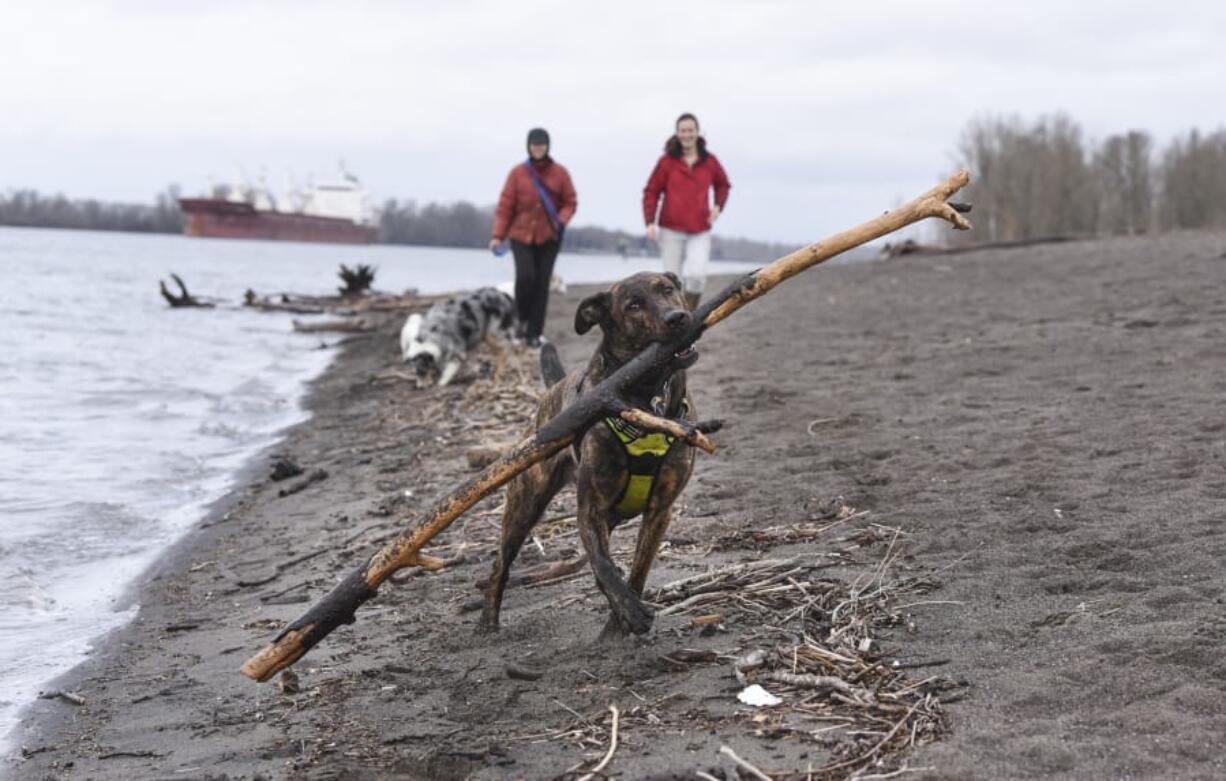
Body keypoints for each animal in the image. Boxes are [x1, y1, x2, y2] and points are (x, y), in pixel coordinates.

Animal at [483, 270, 706, 637]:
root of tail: (554, 390)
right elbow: (603, 566)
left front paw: (619, 621)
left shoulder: (660, 511)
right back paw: (487, 621)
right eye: (633, 306)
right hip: (524, 504)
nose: (677, 318)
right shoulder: (591, 509)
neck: (647, 395)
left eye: (667, 289)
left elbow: (639, 568)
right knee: (501, 563)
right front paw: (629, 611)